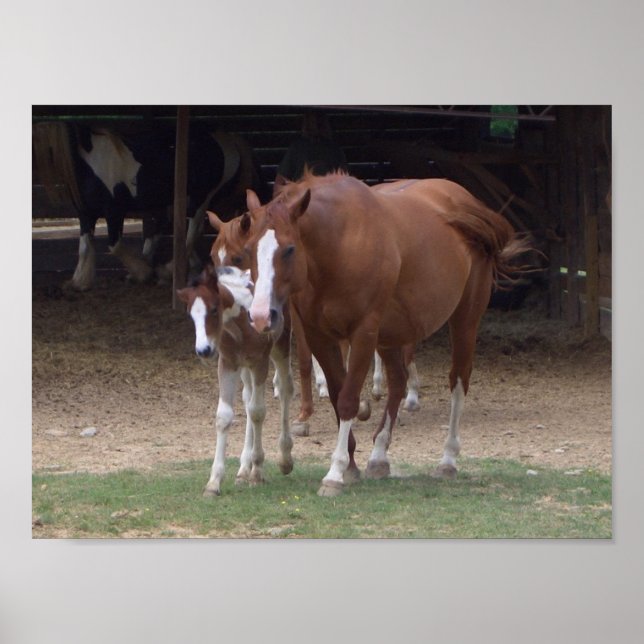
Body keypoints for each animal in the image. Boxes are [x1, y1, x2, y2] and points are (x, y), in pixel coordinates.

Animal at [33, 121, 264, 290]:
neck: (90, 162)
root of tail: (226, 139)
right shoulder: (86, 215)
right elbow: (84, 247)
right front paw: (79, 281)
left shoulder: (114, 212)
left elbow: (114, 246)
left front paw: (142, 272)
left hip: (201, 199)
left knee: (191, 232)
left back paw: (167, 270)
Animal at [176, 265, 294, 496]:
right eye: (190, 315)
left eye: (214, 309)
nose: (203, 351)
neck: (241, 325)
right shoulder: (228, 363)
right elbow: (224, 416)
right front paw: (214, 483)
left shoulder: (260, 362)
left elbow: (258, 412)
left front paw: (257, 472)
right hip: (244, 368)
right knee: (248, 399)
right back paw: (242, 470)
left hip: (280, 348)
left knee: (284, 389)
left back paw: (284, 459)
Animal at [241, 172, 529, 496]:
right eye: (249, 249)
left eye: (289, 249)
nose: (261, 315)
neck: (339, 245)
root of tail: (466, 201)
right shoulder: (319, 337)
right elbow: (338, 397)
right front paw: (351, 466)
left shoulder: (363, 333)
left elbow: (348, 400)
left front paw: (336, 472)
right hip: (393, 334)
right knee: (398, 382)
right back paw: (379, 456)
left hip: (465, 320)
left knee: (458, 380)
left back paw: (448, 460)